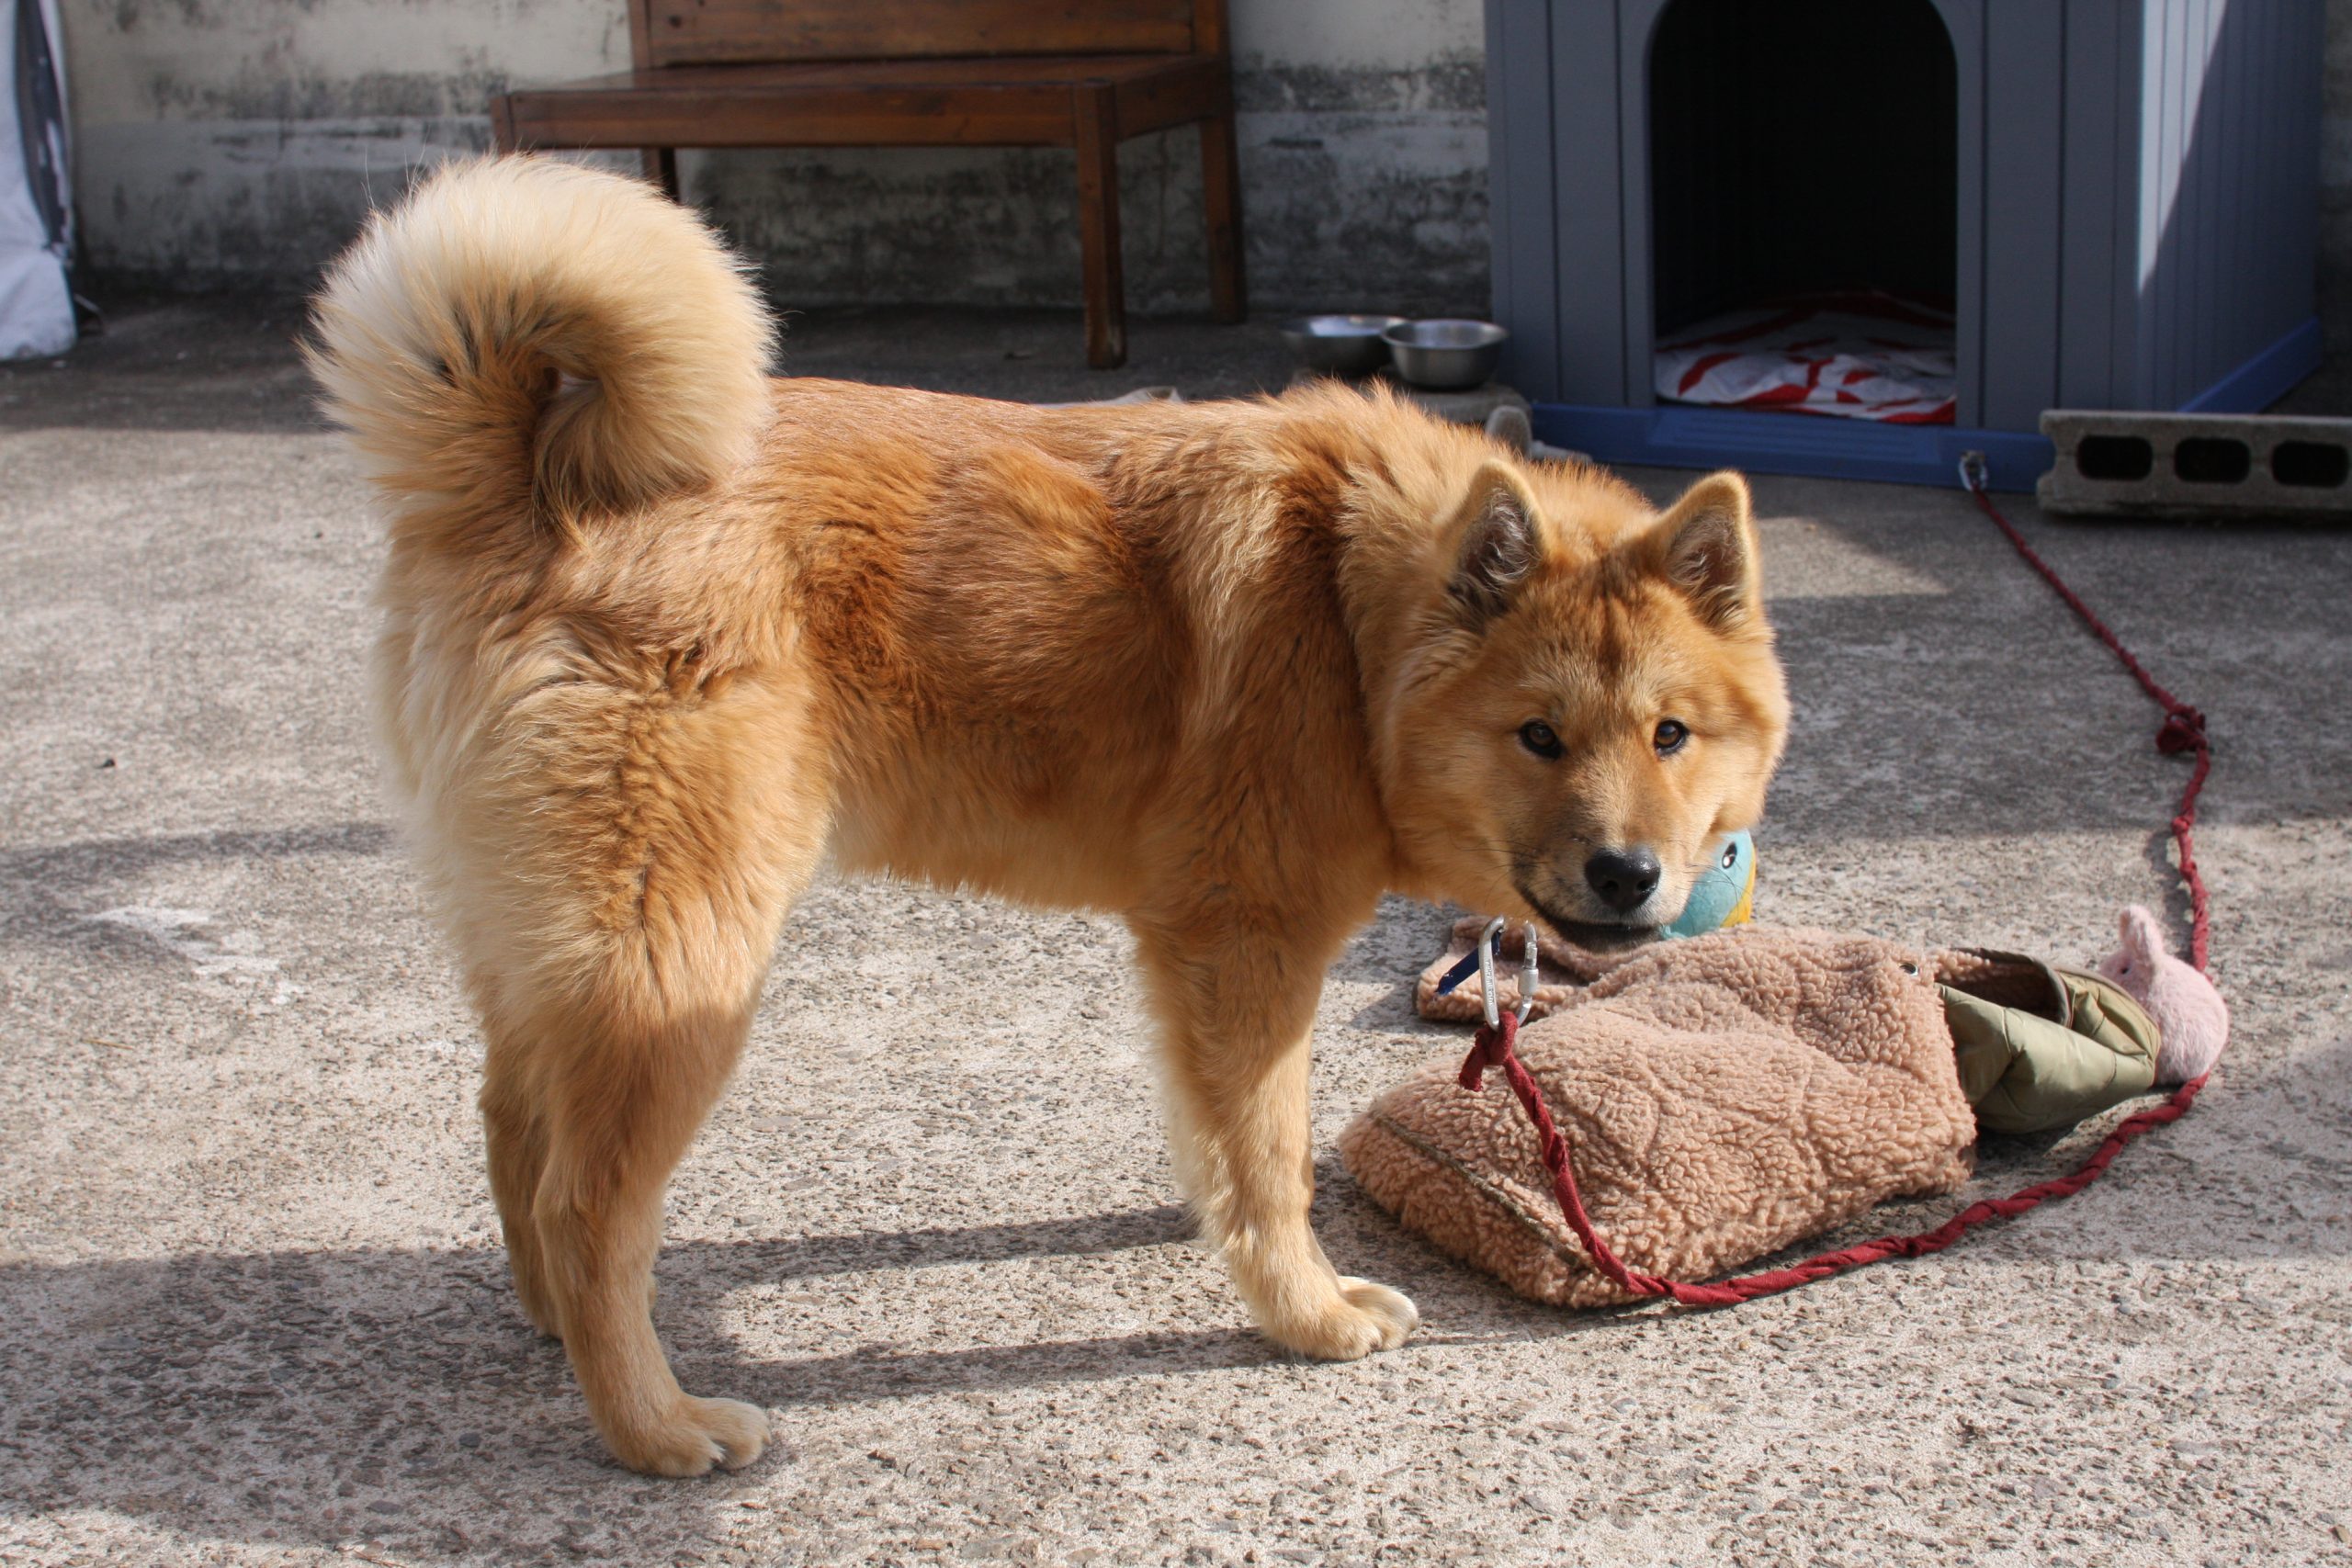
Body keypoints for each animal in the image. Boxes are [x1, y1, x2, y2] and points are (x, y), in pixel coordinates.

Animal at [307, 156, 1790, 1476]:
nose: (1628, 875)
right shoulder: (1244, 941)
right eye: (1538, 734)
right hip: (680, 965)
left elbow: (1231, 1136)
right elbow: (1271, 1155)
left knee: (513, 1129)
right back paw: (654, 1425)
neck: (1351, 617)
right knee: (586, 1206)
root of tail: (525, 483)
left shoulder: (1206, 962)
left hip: (554, 952)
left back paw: (555, 1330)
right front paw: (1304, 1310)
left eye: (1669, 734)